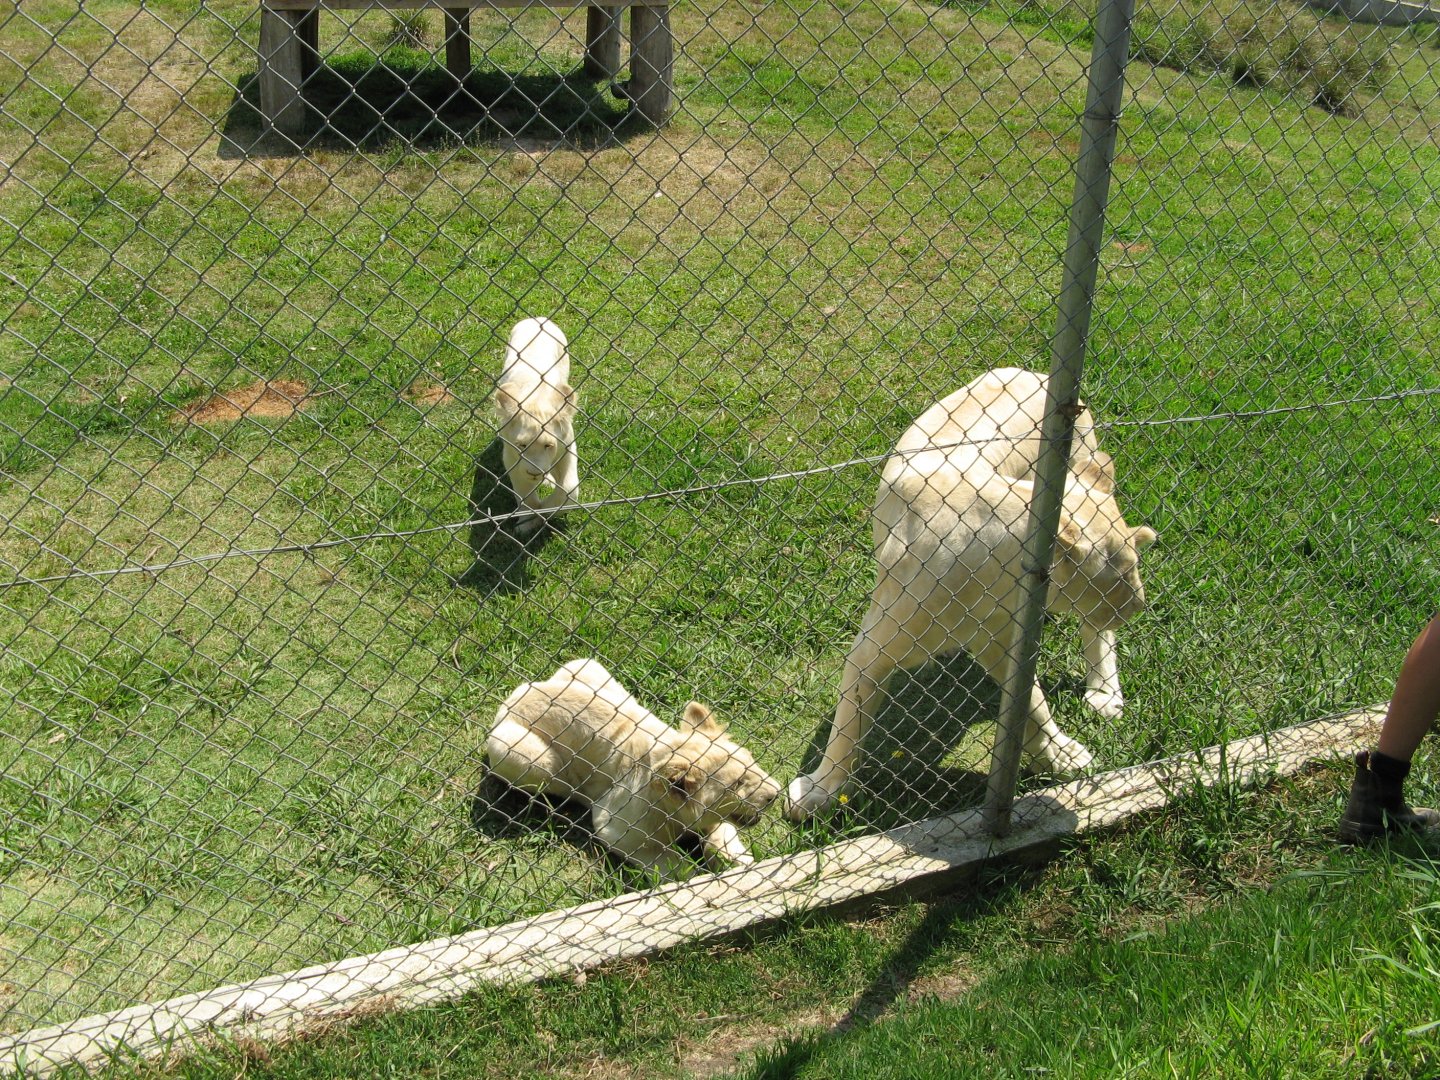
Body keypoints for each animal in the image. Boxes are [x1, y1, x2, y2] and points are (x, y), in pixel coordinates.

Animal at [487, 659, 782, 879]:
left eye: (751, 762)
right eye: (738, 782)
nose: (776, 794)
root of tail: (516, 695)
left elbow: (723, 832)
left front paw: (742, 863)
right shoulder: (614, 822)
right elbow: (667, 860)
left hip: (587, 666)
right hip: (513, 749)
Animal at [494, 317, 580, 536]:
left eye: (548, 446)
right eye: (522, 446)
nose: (534, 473)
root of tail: (538, 318)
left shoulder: (567, 447)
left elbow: (569, 489)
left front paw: (547, 509)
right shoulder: (511, 456)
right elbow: (524, 493)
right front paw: (527, 522)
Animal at [786, 367, 1157, 821]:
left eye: (1137, 559)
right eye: (1122, 575)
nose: (1138, 605)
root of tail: (1033, 371)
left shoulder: (1001, 637)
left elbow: (1032, 704)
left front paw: (1059, 757)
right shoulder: (877, 647)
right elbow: (849, 722)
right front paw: (820, 792)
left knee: (1095, 630)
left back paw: (1104, 692)